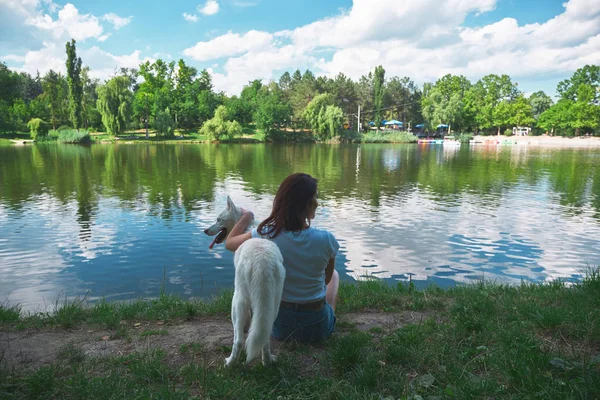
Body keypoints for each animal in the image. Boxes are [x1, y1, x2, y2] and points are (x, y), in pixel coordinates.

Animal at [204, 197, 286, 366]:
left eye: (218, 219)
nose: (205, 231)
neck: (244, 227)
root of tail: (262, 261)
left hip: (237, 301)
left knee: (238, 341)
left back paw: (230, 363)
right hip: (274, 304)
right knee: (265, 337)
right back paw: (267, 362)